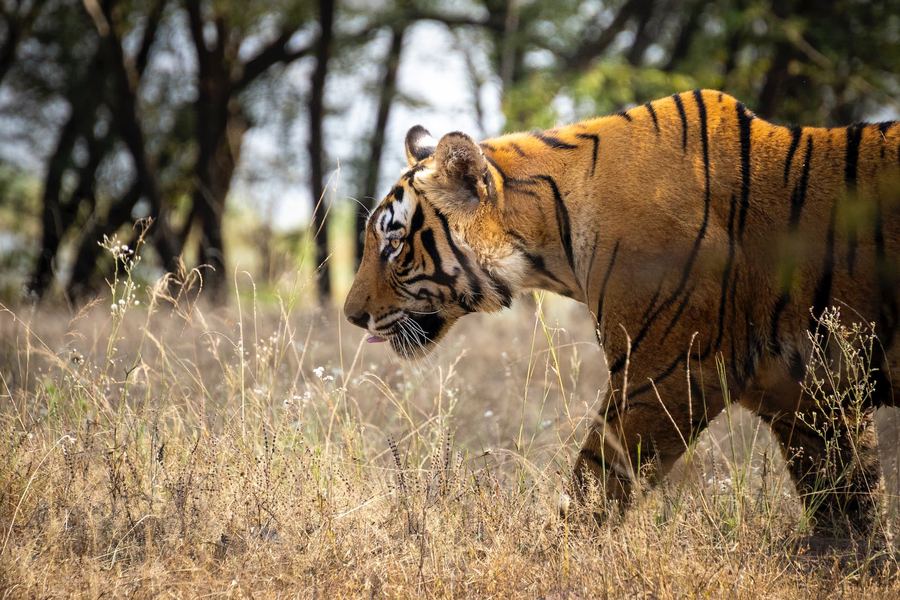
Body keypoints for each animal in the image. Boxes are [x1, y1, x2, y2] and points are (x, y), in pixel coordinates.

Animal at [343, 89, 899, 537]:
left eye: (393, 245)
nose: (351, 316)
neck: (552, 239)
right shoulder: (809, 397)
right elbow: (848, 508)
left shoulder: (664, 373)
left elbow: (593, 483)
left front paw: (554, 557)